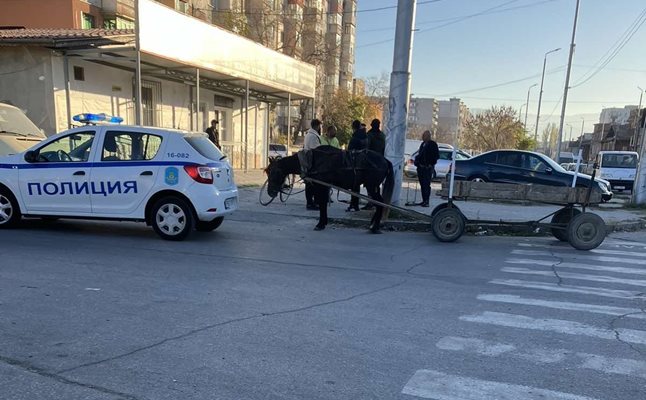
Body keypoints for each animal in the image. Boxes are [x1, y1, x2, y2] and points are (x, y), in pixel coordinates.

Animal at [266, 145, 398, 233]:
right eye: (267, 172)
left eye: (274, 172)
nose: (270, 192)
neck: (313, 160)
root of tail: (385, 160)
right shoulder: (324, 186)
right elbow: (323, 203)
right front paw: (323, 222)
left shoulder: (322, 186)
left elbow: (322, 203)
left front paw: (320, 224)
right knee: (379, 203)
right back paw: (373, 224)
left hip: (371, 187)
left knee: (380, 203)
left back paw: (374, 227)